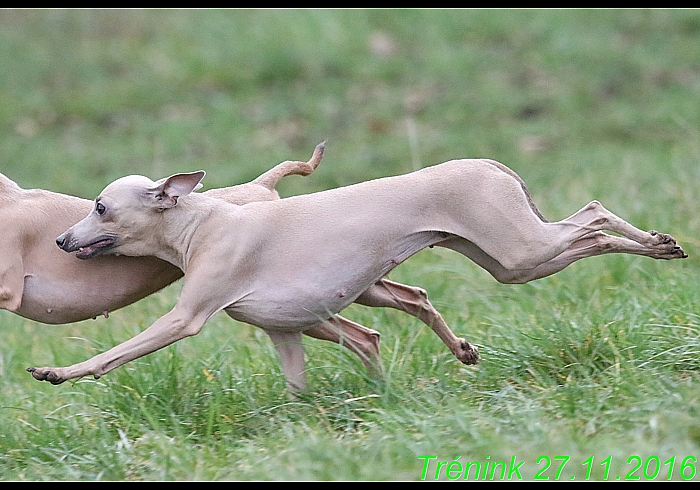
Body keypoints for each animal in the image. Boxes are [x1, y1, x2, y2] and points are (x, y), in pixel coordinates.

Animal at [31, 153, 684, 390]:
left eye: (100, 207)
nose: (62, 240)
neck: (202, 224)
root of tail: (492, 165)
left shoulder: (187, 317)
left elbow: (118, 352)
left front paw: (59, 372)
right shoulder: (285, 330)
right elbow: (298, 386)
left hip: (522, 254)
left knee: (593, 222)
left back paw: (659, 245)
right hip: (504, 259)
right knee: (587, 220)